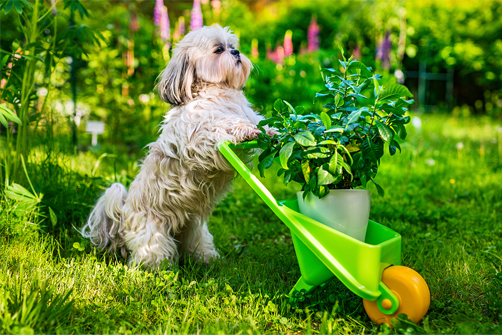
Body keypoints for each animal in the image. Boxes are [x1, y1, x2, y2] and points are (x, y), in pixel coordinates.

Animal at [81, 25, 274, 270]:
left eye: (232, 46)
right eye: (219, 50)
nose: (236, 52)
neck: (217, 92)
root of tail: (123, 214)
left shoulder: (245, 119)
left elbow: (258, 122)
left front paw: (273, 130)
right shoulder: (198, 140)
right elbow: (220, 125)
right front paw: (243, 129)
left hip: (194, 228)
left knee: (195, 246)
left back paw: (207, 260)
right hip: (153, 235)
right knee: (151, 253)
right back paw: (156, 270)